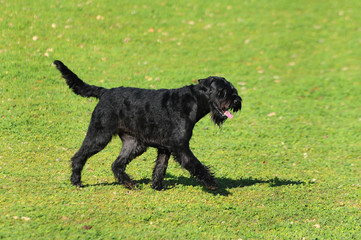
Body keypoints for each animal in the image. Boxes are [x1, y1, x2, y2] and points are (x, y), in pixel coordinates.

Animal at [53, 60, 240, 191]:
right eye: (222, 91)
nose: (237, 101)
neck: (193, 101)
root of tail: (105, 92)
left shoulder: (165, 147)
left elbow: (160, 168)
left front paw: (157, 187)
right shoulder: (181, 147)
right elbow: (195, 164)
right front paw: (212, 183)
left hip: (134, 143)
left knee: (117, 165)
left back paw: (129, 183)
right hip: (99, 136)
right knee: (79, 157)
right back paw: (76, 181)